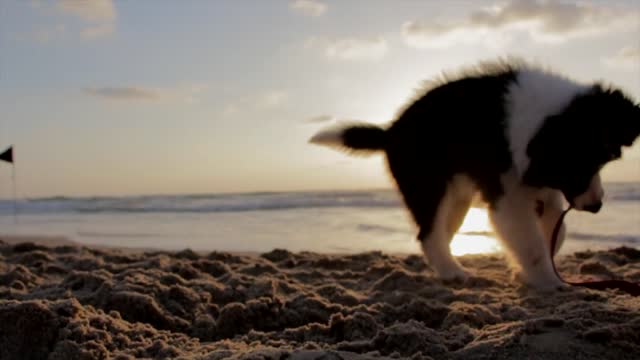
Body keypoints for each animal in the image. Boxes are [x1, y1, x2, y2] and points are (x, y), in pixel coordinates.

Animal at [312, 59, 640, 290]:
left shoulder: (539, 185)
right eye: (578, 165)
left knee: (438, 234)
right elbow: (531, 241)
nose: (596, 206)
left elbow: (555, 231)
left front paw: (528, 269)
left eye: (603, 162)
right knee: (428, 234)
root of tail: (391, 132)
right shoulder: (509, 194)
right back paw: (453, 272)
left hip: (456, 199)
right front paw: (549, 281)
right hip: (430, 187)